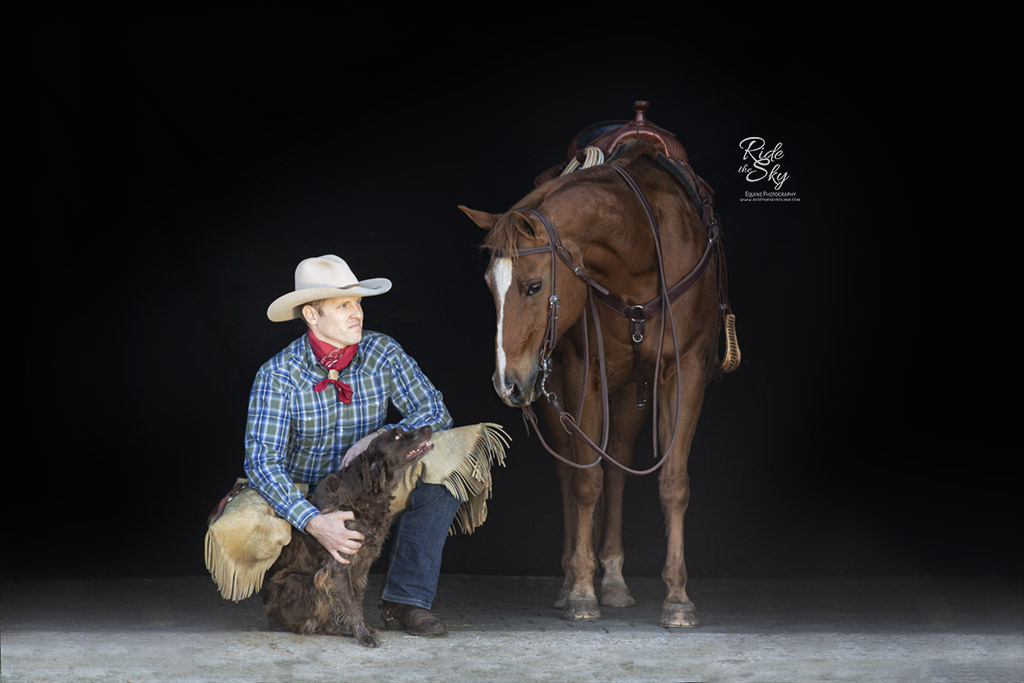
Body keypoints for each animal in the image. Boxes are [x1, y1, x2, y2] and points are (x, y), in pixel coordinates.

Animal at [262, 428, 434, 647]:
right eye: (397, 436)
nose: (428, 427)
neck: (365, 493)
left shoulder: (363, 565)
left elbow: (357, 600)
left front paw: (362, 629)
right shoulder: (339, 563)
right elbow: (351, 604)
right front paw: (363, 635)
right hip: (304, 581)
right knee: (315, 623)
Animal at [462, 111, 737, 626]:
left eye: (533, 286)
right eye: (489, 284)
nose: (506, 384)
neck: (643, 249)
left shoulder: (686, 370)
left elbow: (672, 482)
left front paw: (677, 598)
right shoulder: (580, 371)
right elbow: (585, 482)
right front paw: (581, 592)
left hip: (629, 393)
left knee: (619, 464)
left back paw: (613, 578)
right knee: (570, 473)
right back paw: (576, 577)